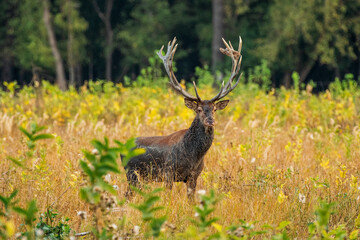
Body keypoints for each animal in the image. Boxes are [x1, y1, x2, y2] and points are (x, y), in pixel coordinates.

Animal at [122, 36, 243, 200]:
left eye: (214, 109)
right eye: (199, 109)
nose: (210, 121)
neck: (193, 157)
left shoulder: (194, 176)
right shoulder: (168, 171)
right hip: (131, 172)